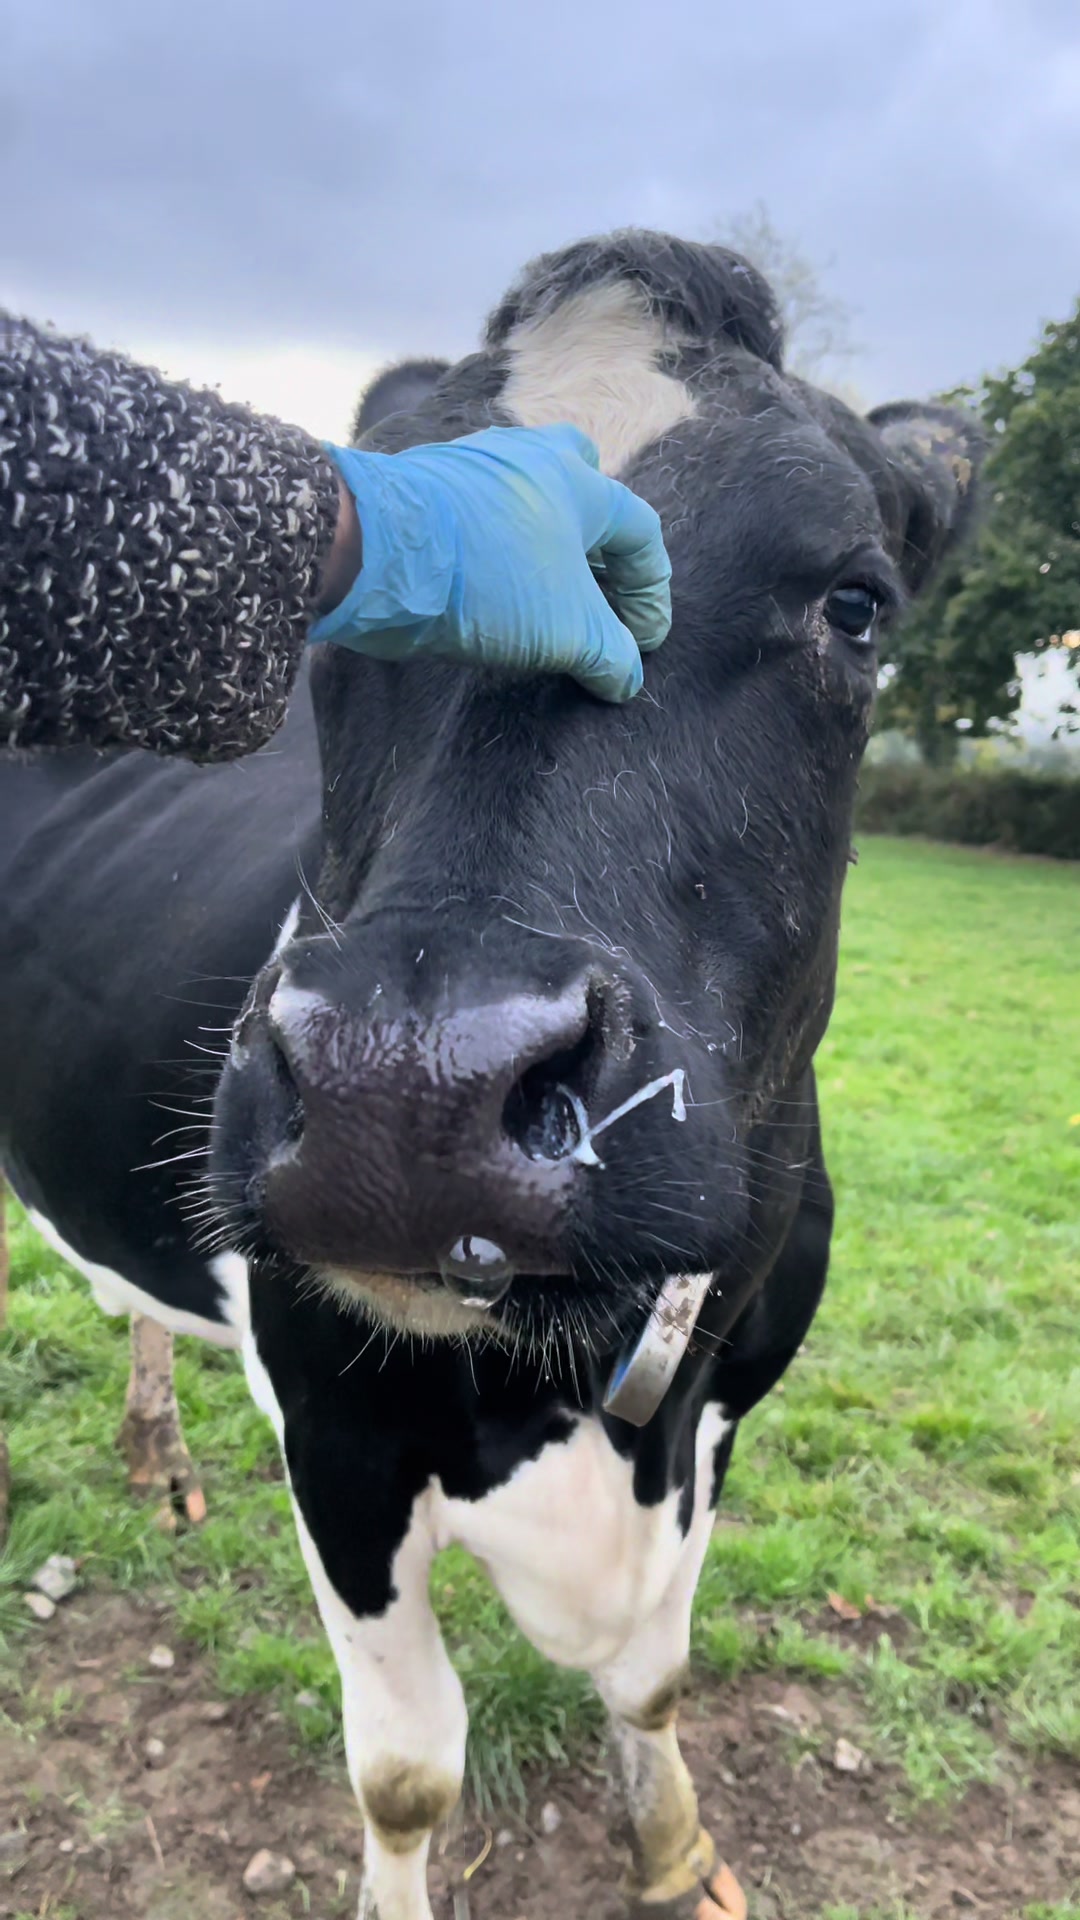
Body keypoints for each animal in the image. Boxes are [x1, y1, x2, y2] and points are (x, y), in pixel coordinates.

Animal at [0, 230, 980, 1920]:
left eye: (858, 604)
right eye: (333, 623)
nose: (406, 1087)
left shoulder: (723, 1405)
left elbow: (654, 1679)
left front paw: (676, 1849)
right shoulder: (337, 1436)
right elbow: (407, 1771)